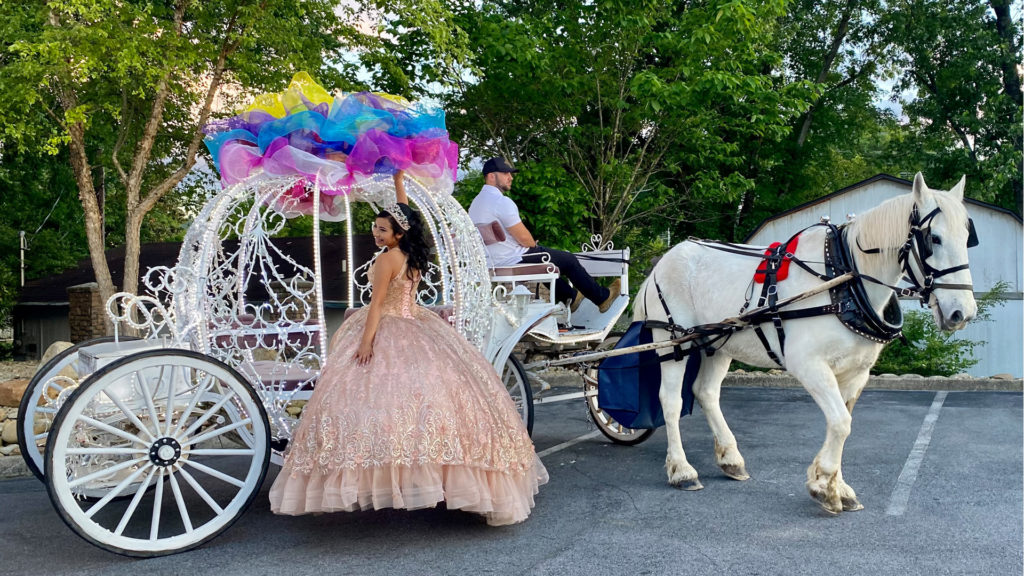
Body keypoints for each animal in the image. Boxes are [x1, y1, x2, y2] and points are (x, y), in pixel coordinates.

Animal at [634, 171, 978, 510]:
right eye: (934, 239)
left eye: (967, 239)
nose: (962, 312)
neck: (843, 280)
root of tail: (663, 260)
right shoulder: (808, 364)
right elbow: (840, 422)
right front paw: (825, 485)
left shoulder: (856, 372)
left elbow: (841, 422)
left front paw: (835, 485)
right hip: (673, 340)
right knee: (671, 400)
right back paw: (682, 470)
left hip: (719, 343)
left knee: (705, 392)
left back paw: (731, 459)